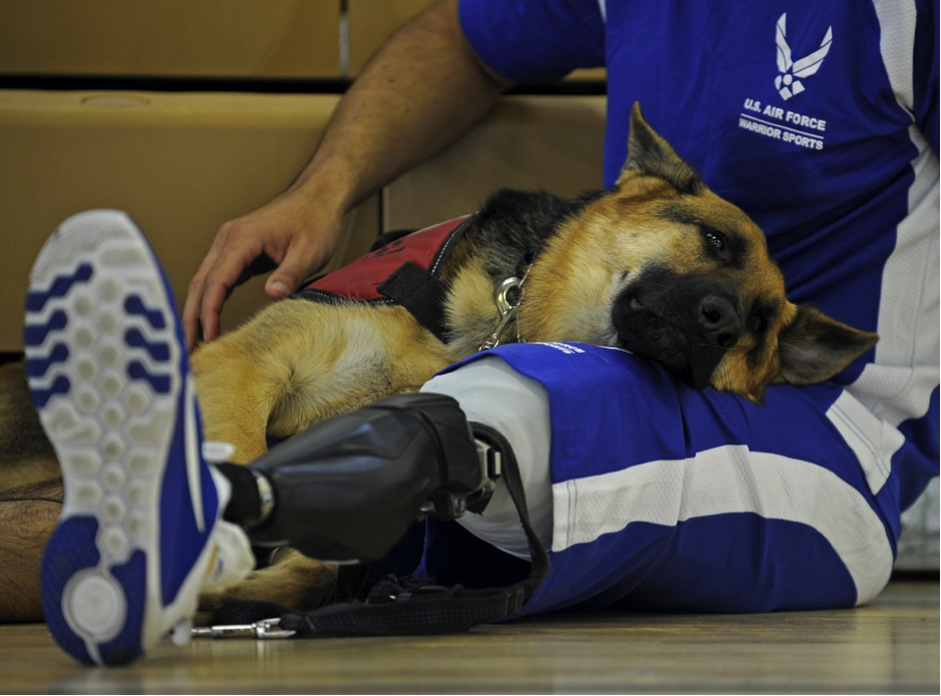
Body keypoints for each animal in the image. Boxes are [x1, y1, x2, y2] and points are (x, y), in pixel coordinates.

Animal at [1, 103, 872, 616]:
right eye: (715, 241)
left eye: (759, 326)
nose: (722, 326)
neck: (495, 322)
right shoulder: (240, 368)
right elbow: (240, 460)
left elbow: (318, 558)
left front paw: (256, 588)